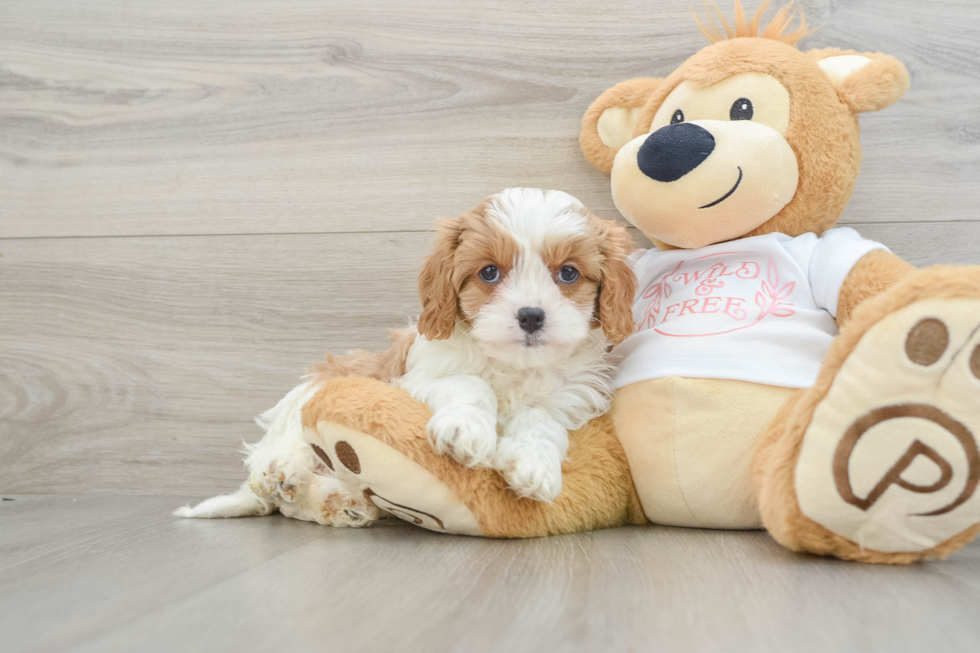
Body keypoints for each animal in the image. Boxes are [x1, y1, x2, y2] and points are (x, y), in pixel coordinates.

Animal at [176, 187, 636, 524]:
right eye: (489, 272)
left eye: (569, 273)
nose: (531, 316)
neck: (510, 365)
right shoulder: (414, 379)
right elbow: (469, 382)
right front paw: (465, 430)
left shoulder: (570, 398)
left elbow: (541, 418)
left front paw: (533, 464)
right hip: (311, 397)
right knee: (274, 468)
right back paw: (284, 474)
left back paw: (339, 503)